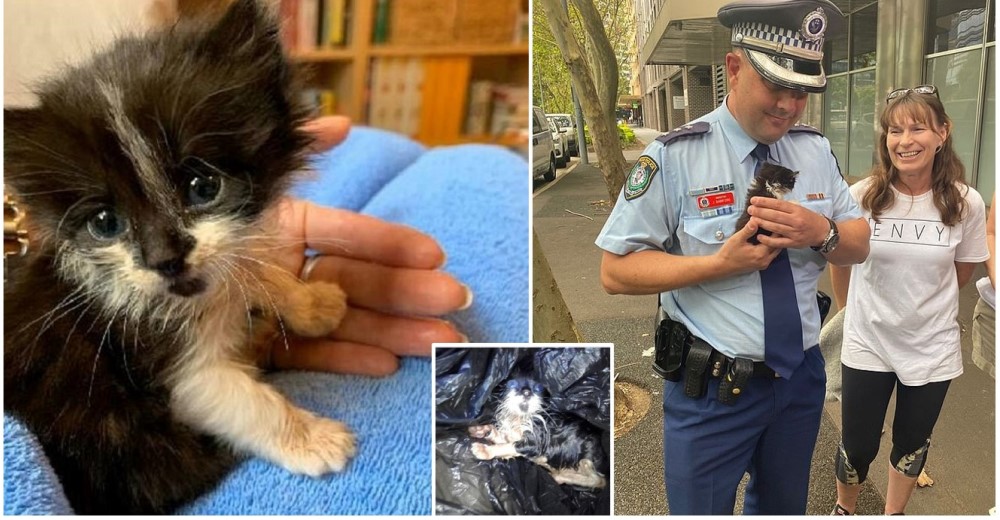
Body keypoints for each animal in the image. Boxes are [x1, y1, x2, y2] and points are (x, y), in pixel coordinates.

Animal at [2, 0, 356, 512]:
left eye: (203, 187)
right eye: (105, 222)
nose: (164, 259)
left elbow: (254, 268)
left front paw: (312, 303)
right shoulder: (163, 364)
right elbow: (242, 400)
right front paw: (313, 438)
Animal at [466, 376, 604, 490]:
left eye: (538, 388)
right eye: (512, 384)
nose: (527, 392)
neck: (520, 419)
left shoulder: (535, 442)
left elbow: (508, 446)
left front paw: (485, 450)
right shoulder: (512, 437)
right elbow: (501, 438)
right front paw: (481, 430)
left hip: (587, 458)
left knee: (599, 481)